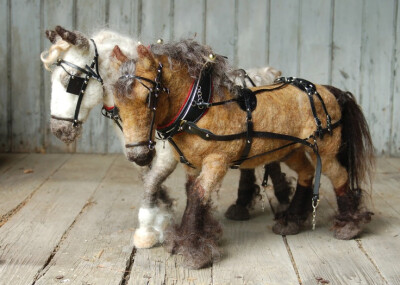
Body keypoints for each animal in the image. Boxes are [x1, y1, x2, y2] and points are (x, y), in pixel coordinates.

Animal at [40, 27, 290, 248]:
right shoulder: (138, 151)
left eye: (71, 81)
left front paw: (148, 229)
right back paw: (242, 206)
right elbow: (147, 178)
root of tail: (268, 73)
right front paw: (163, 213)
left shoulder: (168, 155)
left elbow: (152, 181)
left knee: (273, 163)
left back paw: (283, 206)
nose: (59, 130)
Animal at [111, 41, 376, 268]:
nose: (138, 156)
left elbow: (197, 195)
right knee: (307, 173)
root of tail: (327, 90)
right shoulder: (191, 165)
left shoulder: (217, 162)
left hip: (326, 150)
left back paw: (349, 226)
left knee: (339, 176)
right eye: (116, 102)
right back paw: (291, 219)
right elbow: (193, 194)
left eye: (149, 97)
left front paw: (194, 250)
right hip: (291, 150)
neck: (198, 110)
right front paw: (194, 237)